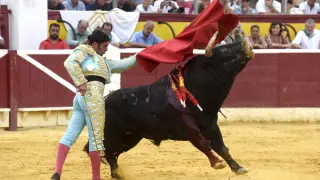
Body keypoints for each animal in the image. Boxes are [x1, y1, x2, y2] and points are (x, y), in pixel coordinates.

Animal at [84, 40, 254, 178]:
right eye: (224, 51)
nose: (245, 42)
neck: (194, 88)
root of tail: (106, 100)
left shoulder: (211, 125)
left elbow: (221, 147)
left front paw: (238, 168)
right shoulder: (189, 127)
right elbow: (203, 143)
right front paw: (217, 163)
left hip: (131, 137)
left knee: (113, 153)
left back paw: (117, 173)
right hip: (113, 134)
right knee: (108, 152)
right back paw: (117, 173)